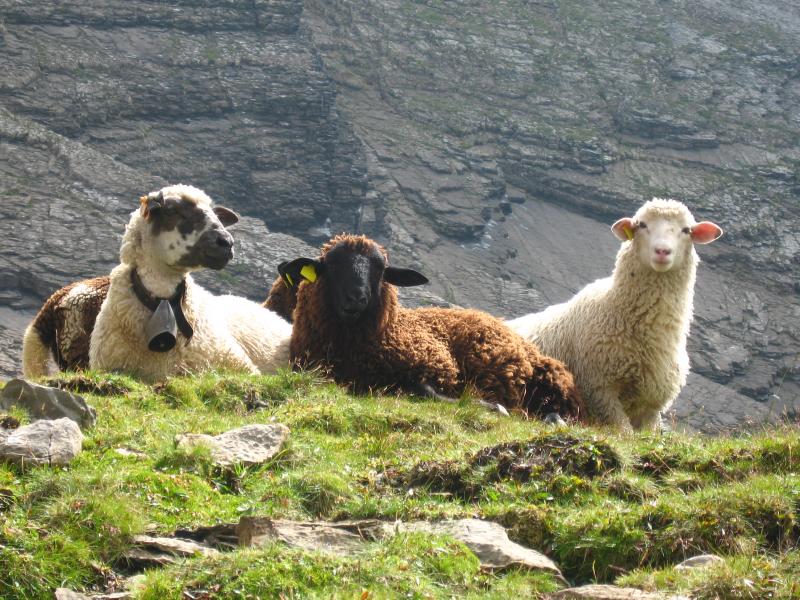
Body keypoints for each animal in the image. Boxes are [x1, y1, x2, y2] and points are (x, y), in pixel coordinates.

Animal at [281, 234, 584, 420]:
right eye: (331, 264)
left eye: (380, 269)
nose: (357, 297)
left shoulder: (436, 368)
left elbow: (425, 391)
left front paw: (488, 406)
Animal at [507, 198, 723, 432]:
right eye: (642, 225)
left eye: (686, 230)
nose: (662, 251)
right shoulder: (599, 390)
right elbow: (624, 432)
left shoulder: (652, 404)